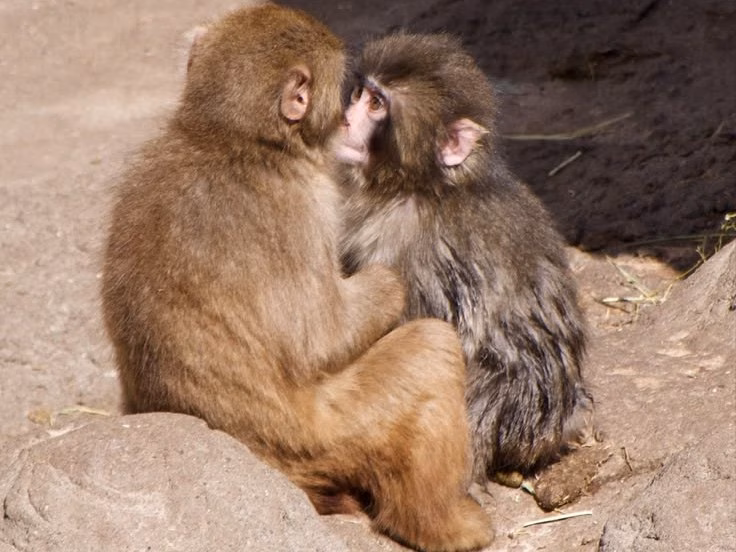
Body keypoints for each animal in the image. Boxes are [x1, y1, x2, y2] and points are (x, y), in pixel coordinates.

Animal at [100, 6, 492, 551]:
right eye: (345, 91)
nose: (346, 120)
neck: (229, 139)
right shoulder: (305, 206)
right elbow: (320, 339)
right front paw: (389, 281)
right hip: (325, 438)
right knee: (430, 352)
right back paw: (442, 525)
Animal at [335, 32, 595, 484]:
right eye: (360, 93)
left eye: (376, 104)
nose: (346, 119)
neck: (423, 186)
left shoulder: (413, 245)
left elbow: (425, 331)